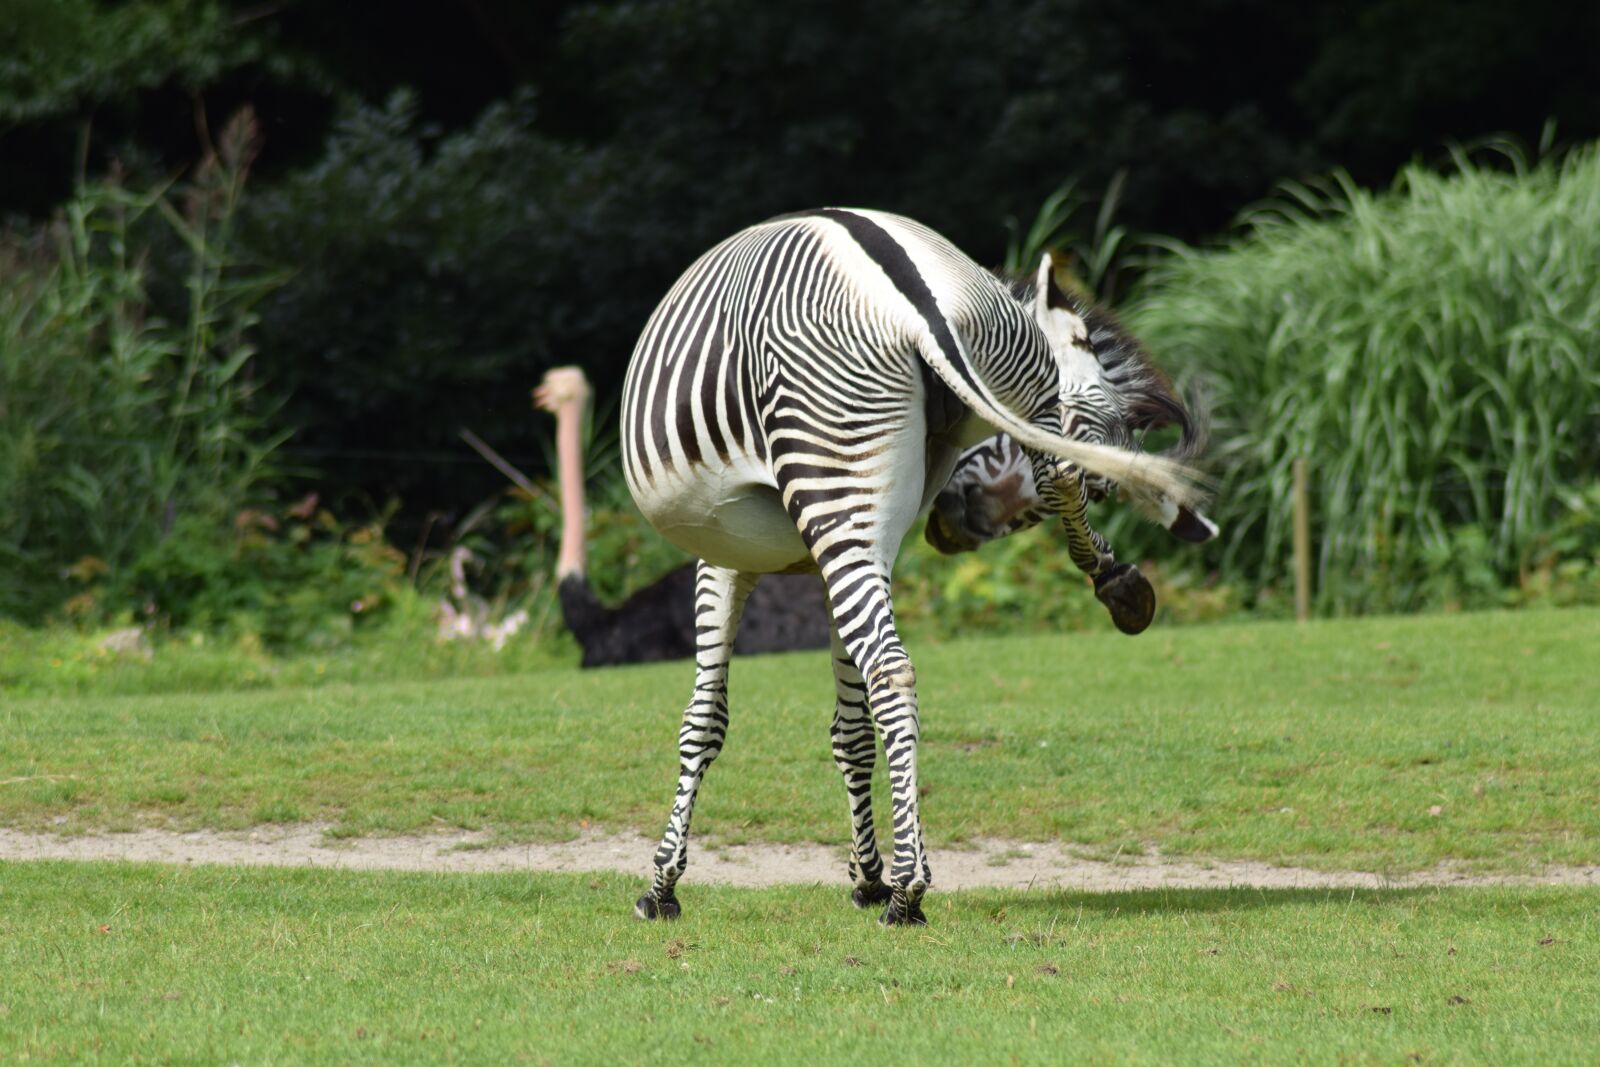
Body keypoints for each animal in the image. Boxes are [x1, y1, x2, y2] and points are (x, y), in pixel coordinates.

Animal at [620, 208, 1209, 925]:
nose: (957, 525)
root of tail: (918, 306)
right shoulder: (844, 553)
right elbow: (849, 728)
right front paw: (864, 872)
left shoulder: (726, 558)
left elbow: (704, 720)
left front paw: (662, 883)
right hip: (978, 415)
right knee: (1050, 482)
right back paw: (1118, 586)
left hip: (836, 477)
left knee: (891, 670)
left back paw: (908, 890)